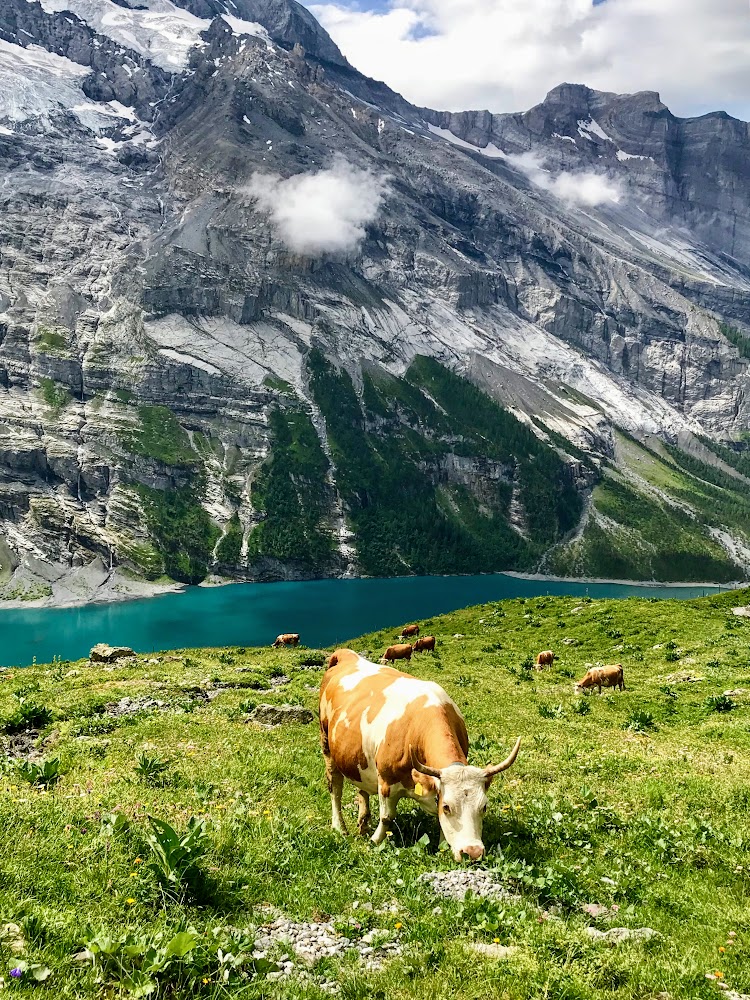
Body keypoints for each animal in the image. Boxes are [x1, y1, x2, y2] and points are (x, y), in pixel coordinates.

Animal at [318, 652, 524, 864]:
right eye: (447, 806)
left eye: (484, 806)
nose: (472, 852)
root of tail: (347, 654)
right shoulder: (386, 780)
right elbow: (387, 816)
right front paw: (376, 840)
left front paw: (442, 846)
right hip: (326, 744)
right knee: (335, 787)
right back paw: (339, 827)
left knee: (362, 789)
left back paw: (363, 824)